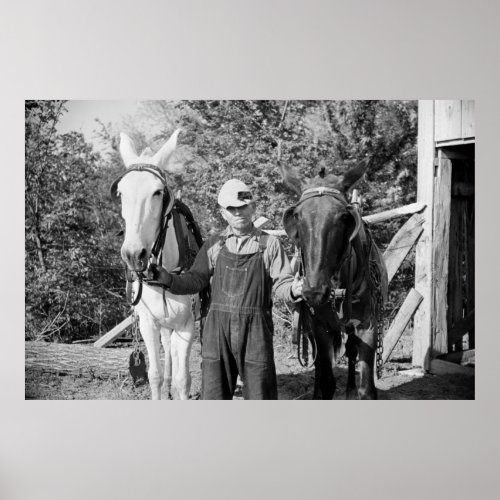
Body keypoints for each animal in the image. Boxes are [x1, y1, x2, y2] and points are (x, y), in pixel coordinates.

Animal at [113, 131, 195, 400]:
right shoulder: (148, 324)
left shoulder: (187, 326)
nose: (133, 254)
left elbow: (183, 380)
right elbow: (155, 376)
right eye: (120, 193)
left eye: (158, 192)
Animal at [282, 160, 386, 398]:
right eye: (297, 216)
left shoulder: (368, 326)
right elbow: (327, 380)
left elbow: (367, 387)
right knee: (320, 365)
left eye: (344, 217)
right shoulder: (321, 327)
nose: (314, 292)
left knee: (351, 352)